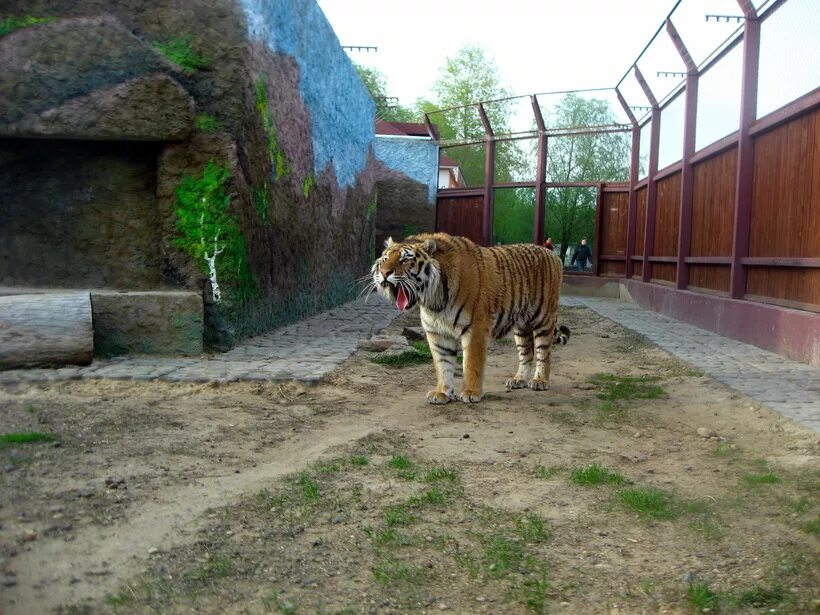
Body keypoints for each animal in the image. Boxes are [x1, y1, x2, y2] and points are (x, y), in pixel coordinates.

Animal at [370, 232, 568, 404]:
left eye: (405, 260)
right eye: (385, 259)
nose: (385, 273)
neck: (433, 300)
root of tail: (552, 253)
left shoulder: (475, 328)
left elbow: (472, 363)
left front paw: (471, 393)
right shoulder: (437, 333)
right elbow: (443, 364)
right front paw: (442, 393)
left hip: (543, 318)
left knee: (544, 352)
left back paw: (540, 381)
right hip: (521, 326)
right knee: (527, 353)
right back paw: (518, 380)